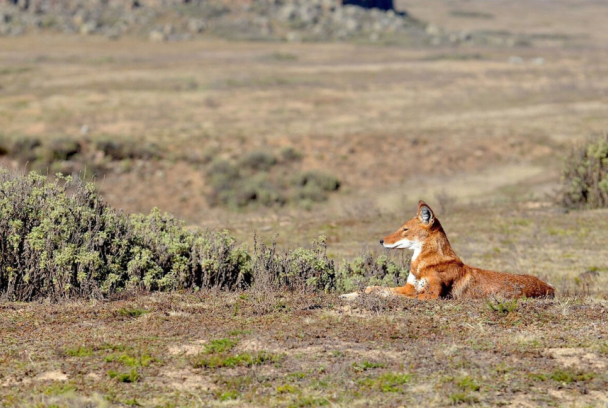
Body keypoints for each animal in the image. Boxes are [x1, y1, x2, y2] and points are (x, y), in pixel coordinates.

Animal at [360, 201, 556, 300]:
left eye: (405, 229)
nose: (381, 240)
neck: (424, 265)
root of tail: (549, 287)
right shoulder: (409, 287)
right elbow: (373, 288)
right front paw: (355, 293)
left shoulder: (431, 295)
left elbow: (392, 296)